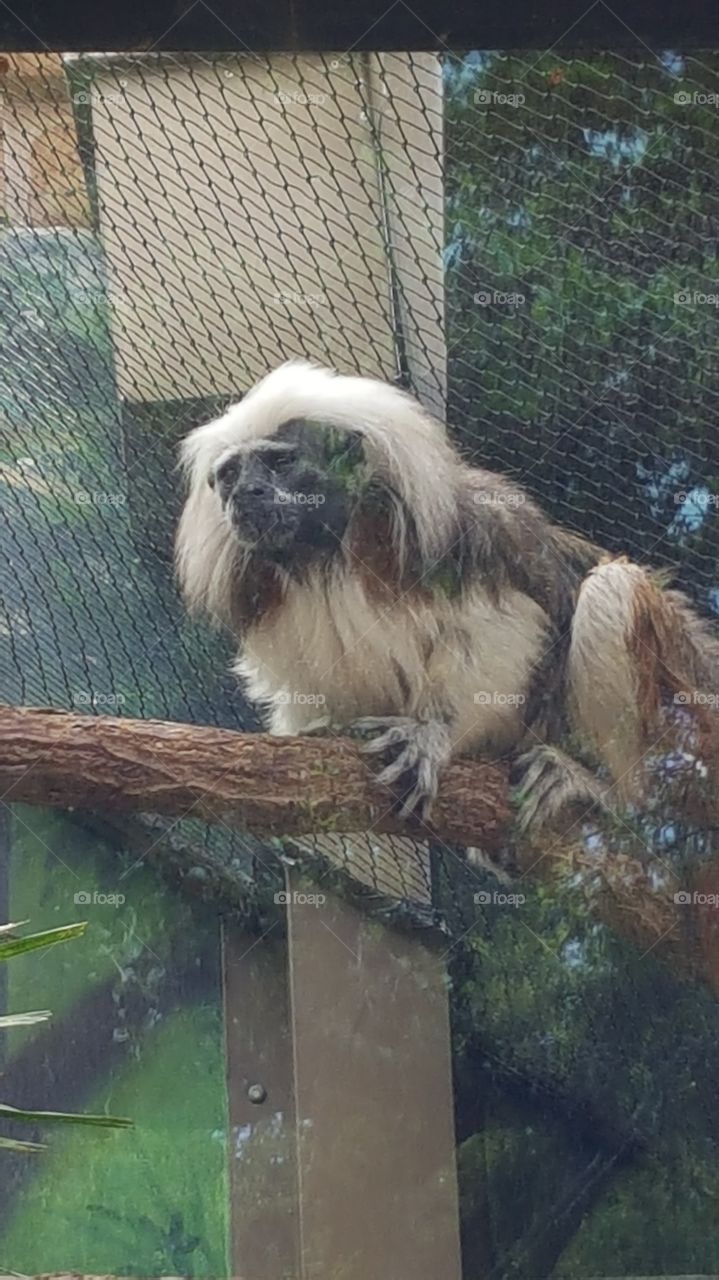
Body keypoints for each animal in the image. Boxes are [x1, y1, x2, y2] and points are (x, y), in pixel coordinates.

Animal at [175, 359, 719, 842]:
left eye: (280, 463)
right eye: (230, 474)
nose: (245, 494)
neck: (331, 552)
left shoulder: (460, 542)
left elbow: (507, 631)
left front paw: (431, 736)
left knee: (611, 588)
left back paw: (609, 790)